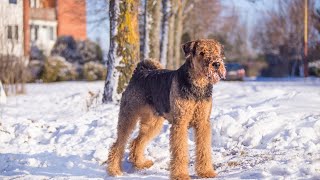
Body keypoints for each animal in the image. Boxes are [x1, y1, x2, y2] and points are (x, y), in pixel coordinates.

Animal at [106, 38, 226, 179]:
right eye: (202, 52)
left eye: (217, 51)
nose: (216, 64)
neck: (198, 85)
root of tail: (139, 72)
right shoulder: (180, 123)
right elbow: (180, 152)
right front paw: (180, 175)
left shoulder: (203, 123)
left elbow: (204, 149)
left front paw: (206, 172)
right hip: (128, 116)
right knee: (118, 144)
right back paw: (114, 170)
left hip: (152, 123)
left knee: (137, 142)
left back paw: (141, 163)